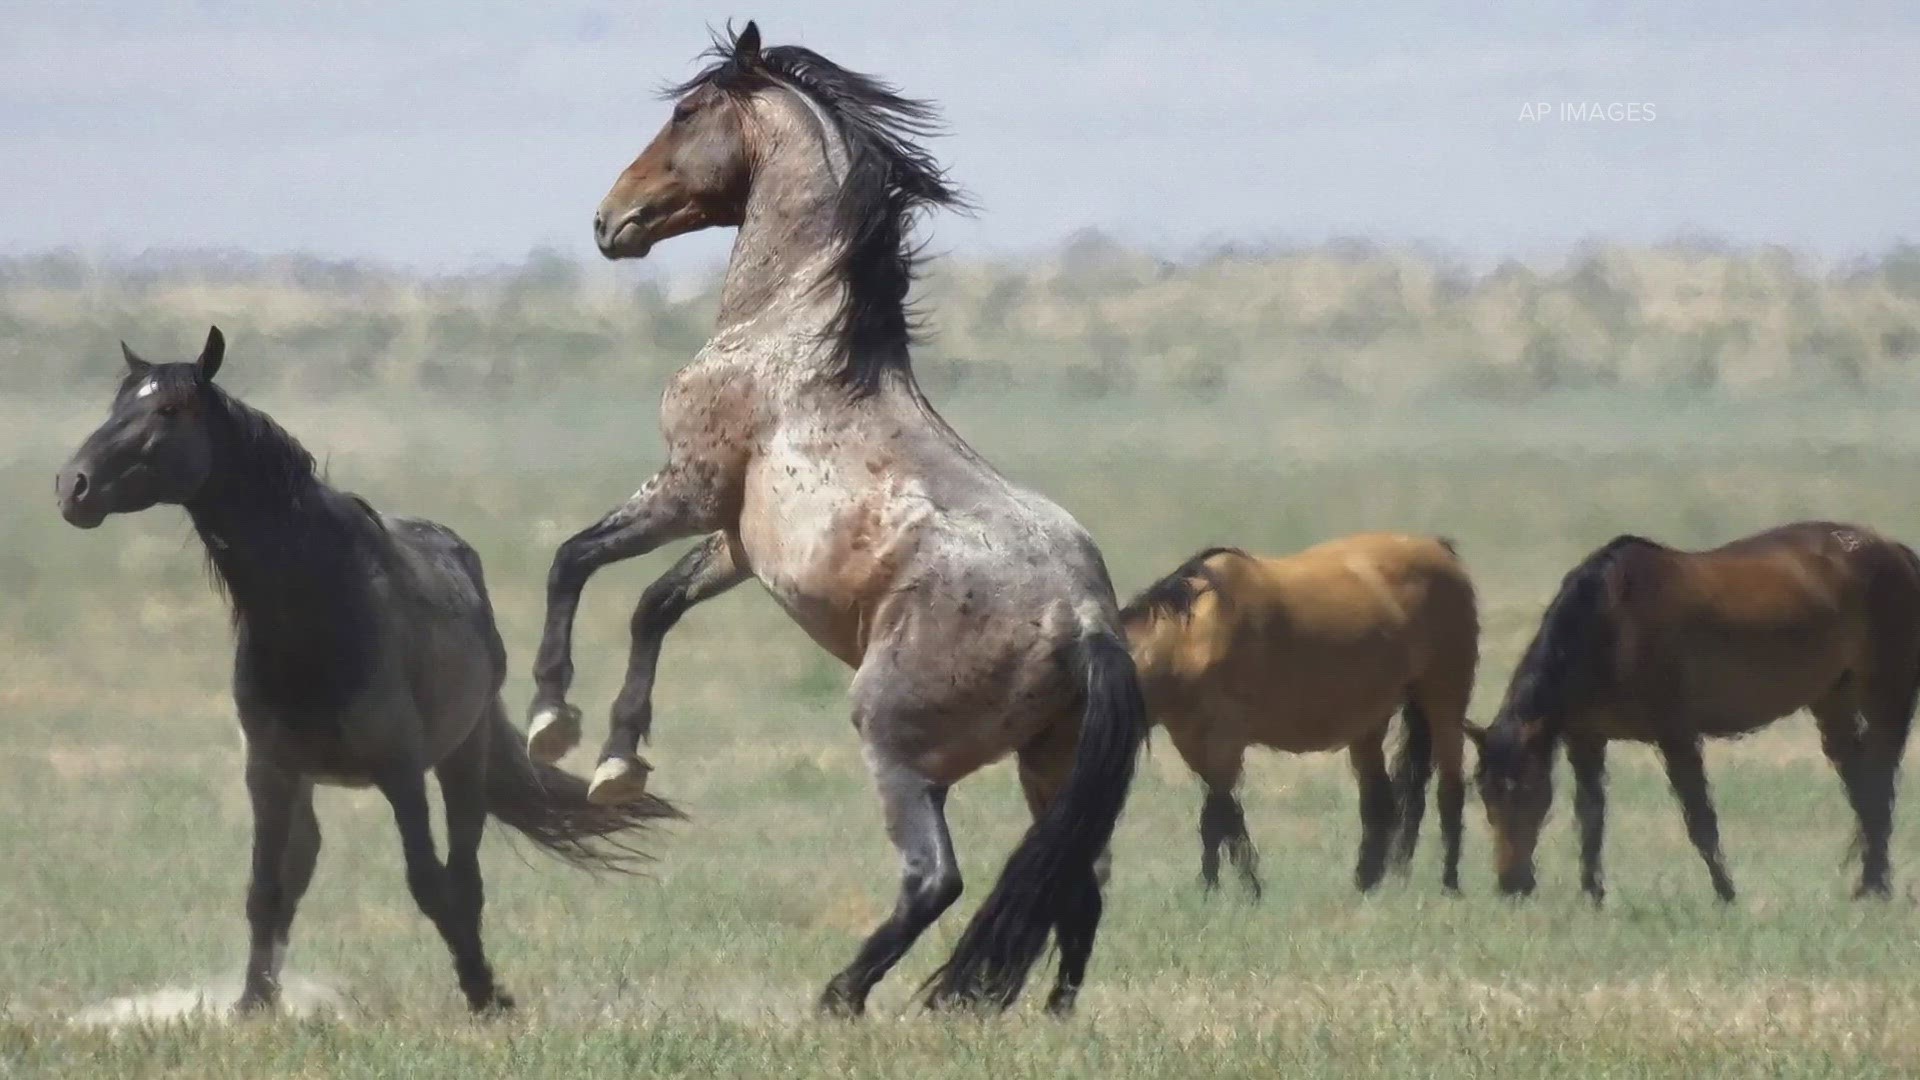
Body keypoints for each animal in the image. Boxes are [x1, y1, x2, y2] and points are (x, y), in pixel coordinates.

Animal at [58, 328, 683, 1006]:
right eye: (118, 403)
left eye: (169, 410)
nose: (72, 485)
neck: (320, 606)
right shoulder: (269, 771)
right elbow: (266, 890)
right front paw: (252, 1006)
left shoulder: (400, 770)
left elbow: (430, 883)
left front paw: (484, 993)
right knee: (303, 865)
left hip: (462, 756)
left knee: (464, 872)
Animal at [514, 27, 1136, 1014]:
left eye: (686, 112)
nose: (609, 222)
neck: (794, 337)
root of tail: (1088, 623)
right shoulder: (735, 543)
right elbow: (654, 606)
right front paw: (618, 762)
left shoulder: (686, 491)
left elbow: (573, 561)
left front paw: (552, 721)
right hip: (1047, 768)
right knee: (1076, 881)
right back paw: (1047, 1015)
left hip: (896, 746)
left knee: (938, 879)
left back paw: (841, 997)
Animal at [1121, 534, 1474, 895]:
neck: (1188, 641)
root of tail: (1438, 547)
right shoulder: (1192, 742)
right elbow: (1226, 817)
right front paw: (1232, 889)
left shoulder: (1224, 740)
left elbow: (1216, 818)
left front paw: (1227, 891)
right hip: (1370, 723)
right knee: (1380, 800)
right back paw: (1366, 885)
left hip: (1445, 702)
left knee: (1450, 791)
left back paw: (1449, 885)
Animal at [1466, 522, 1920, 899]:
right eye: (1484, 792)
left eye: (1525, 789)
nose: (1511, 885)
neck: (1611, 625)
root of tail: (1898, 551)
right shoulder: (1586, 739)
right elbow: (1591, 817)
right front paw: (1591, 896)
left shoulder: (1676, 735)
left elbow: (1699, 817)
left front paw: (1726, 893)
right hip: (1832, 697)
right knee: (1861, 784)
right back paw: (1868, 883)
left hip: (1887, 694)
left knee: (1880, 783)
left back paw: (1875, 888)